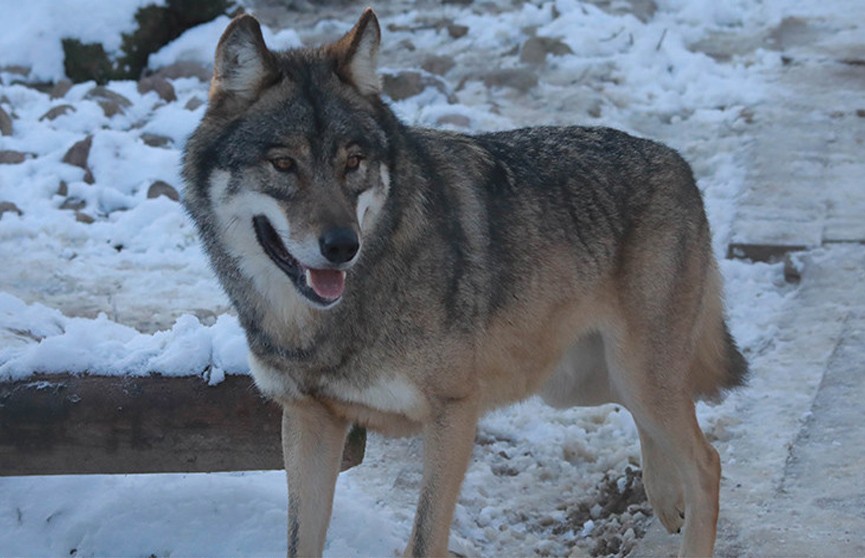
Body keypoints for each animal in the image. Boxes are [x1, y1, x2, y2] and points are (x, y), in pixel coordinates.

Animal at [184, 9, 748, 558]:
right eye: (283, 163)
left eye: (353, 162)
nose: (343, 246)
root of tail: (678, 162)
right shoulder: (309, 420)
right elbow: (301, 541)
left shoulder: (453, 415)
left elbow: (423, 540)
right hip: (583, 384)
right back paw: (666, 499)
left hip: (632, 374)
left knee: (707, 461)